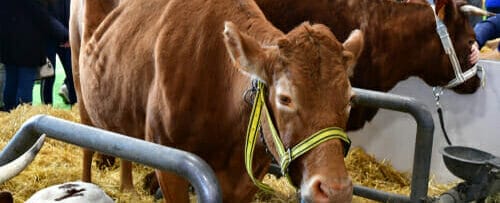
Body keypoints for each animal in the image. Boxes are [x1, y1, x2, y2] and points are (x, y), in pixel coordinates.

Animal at [69, 0, 364, 202]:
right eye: (285, 98)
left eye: (350, 99)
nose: (336, 190)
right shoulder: (170, 162)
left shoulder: (249, 177)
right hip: (78, 76)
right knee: (86, 143)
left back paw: (127, 188)